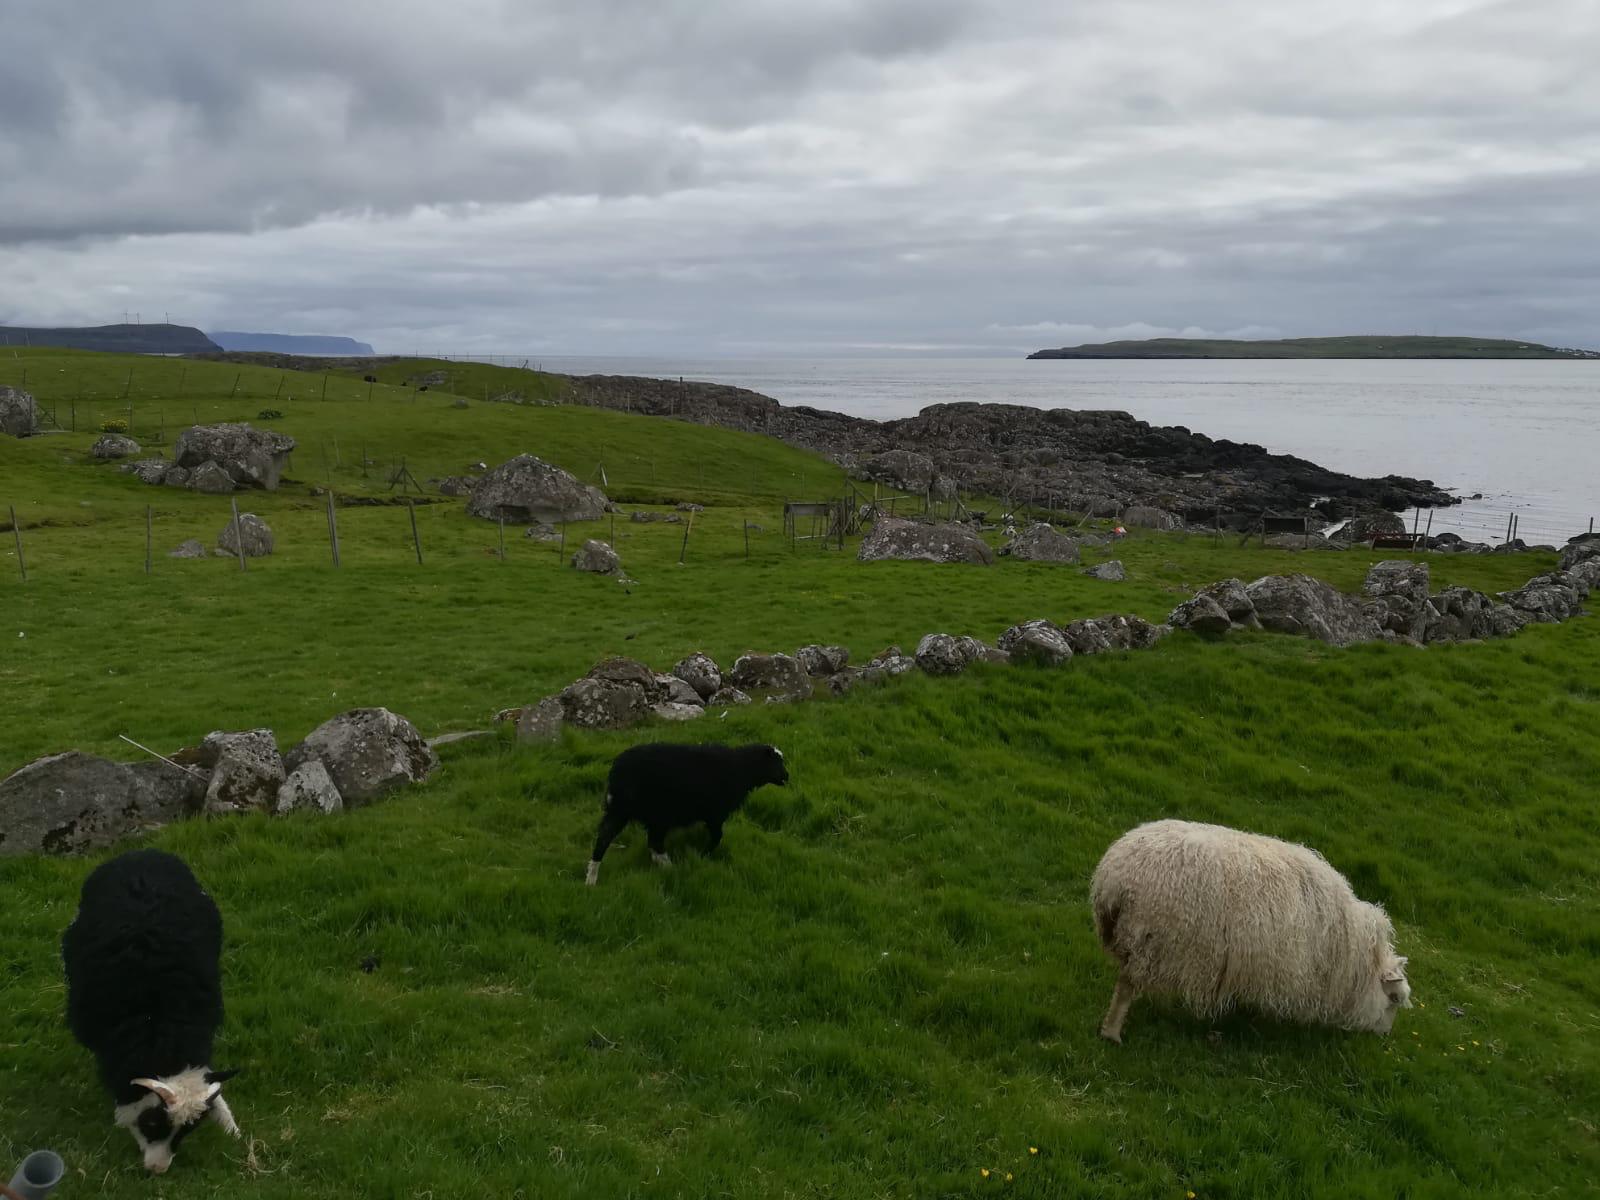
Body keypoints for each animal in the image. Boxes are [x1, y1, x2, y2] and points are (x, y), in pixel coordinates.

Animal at [61, 851, 240, 1177]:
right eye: (152, 1122)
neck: (158, 1026)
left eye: (188, 1131)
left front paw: (231, 1128)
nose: (158, 1170)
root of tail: (141, 853)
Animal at [585, 742, 790, 883]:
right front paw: (703, 854)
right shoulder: (715, 814)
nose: (787, 777)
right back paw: (672, 869)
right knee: (653, 843)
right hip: (655, 813)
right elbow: (717, 837)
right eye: (776, 762)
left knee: (606, 839)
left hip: (621, 812)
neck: (741, 769)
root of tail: (616, 772)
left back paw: (591, 880)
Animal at [1088, 819, 1414, 1043]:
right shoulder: (1284, 971)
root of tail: (1114, 877)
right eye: (1395, 998)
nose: (1385, 1035)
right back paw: (1112, 1032)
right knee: (1125, 988)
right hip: (1149, 938)